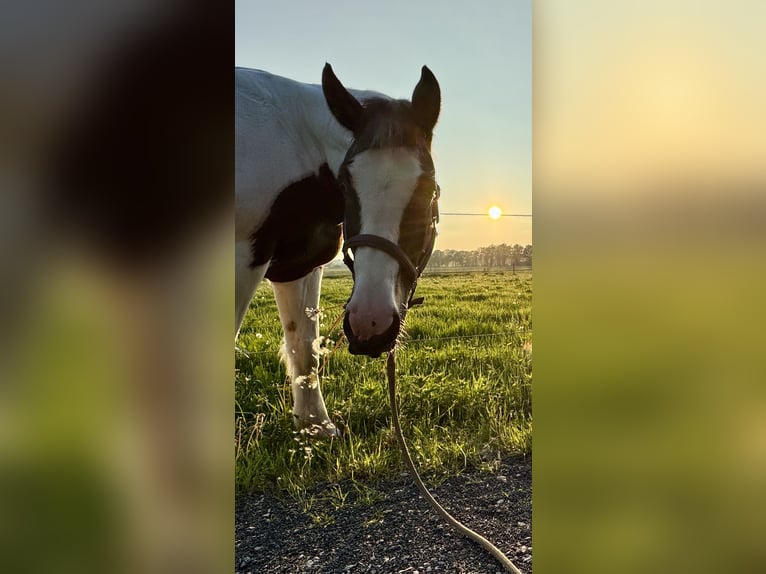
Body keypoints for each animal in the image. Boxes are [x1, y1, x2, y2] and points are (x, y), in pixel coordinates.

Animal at [235, 63, 441, 437]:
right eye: (345, 184)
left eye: (430, 189)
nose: (370, 324)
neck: (293, 140)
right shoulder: (243, 256)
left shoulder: (299, 264)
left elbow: (305, 347)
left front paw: (315, 426)